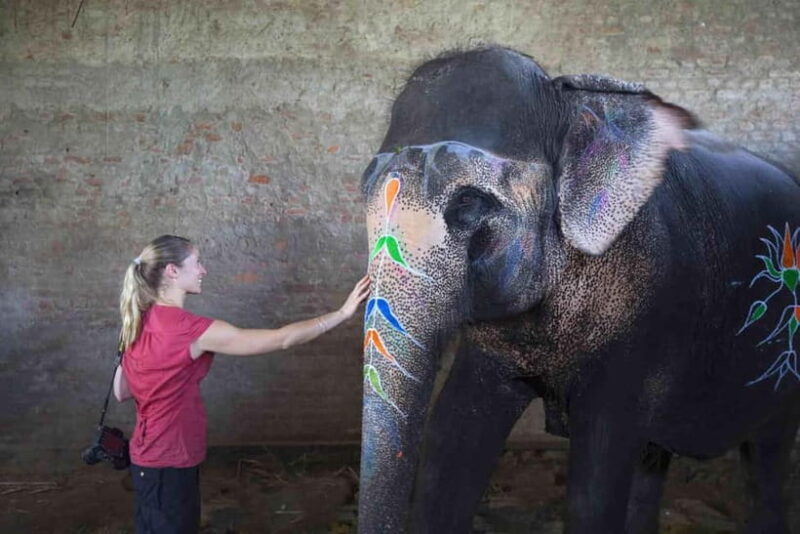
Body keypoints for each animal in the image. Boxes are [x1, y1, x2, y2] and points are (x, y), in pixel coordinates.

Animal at [357, 46, 800, 533]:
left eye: (468, 203)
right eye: (364, 194)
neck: (567, 103)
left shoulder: (644, 314)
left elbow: (597, 473)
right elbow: (452, 439)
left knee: (766, 455)